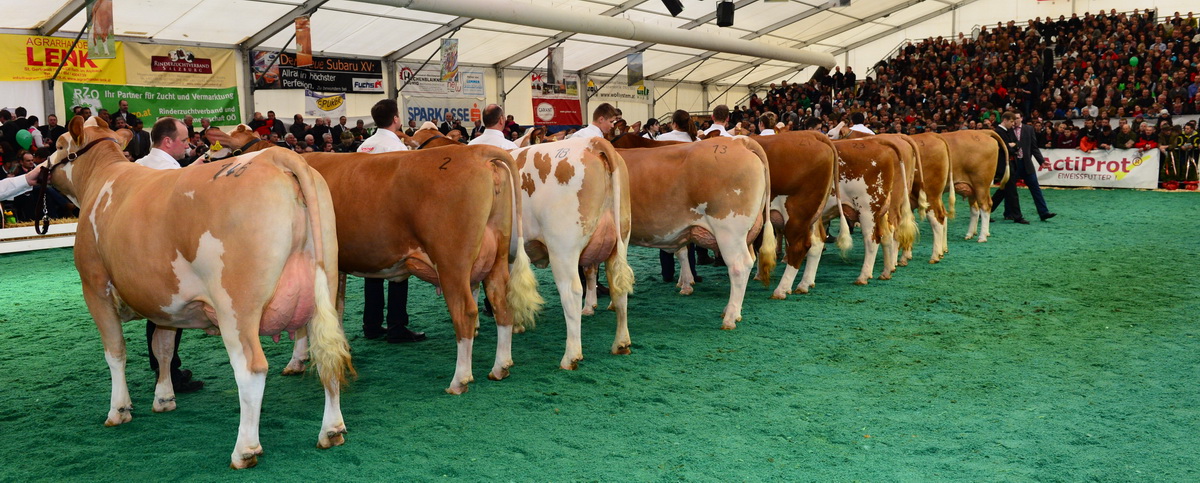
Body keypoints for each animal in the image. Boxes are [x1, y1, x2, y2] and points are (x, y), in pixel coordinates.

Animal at [51, 117, 350, 468]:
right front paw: (164, 397)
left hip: (236, 306)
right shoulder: (165, 304)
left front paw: (119, 409)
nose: (43, 168)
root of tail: (275, 157)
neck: (103, 179)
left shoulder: (95, 287)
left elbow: (116, 352)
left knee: (251, 369)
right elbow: (163, 348)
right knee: (328, 353)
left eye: (59, 145)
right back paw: (331, 430)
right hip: (325, 286)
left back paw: (245, 449)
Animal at [300, 148, 540, 396]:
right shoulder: (338, 267)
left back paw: (459, 380)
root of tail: (476, 152)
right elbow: (336, 309)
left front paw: (300, 360)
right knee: (502, 305)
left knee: (465, 313)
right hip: (497, 257)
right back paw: (501, 367)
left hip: (452, 263)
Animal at [508, 136, 638, 370]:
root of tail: (593, 143)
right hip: (620, 240)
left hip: (562, 249)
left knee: (572, 292)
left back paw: (571, 356)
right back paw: (621, 344)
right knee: (619, 289)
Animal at [609, 135, 777, 331]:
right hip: (746, 233)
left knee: (739, 266)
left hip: (729, 231)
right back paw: (733, 311)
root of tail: (738, 140)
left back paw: (730, 318)